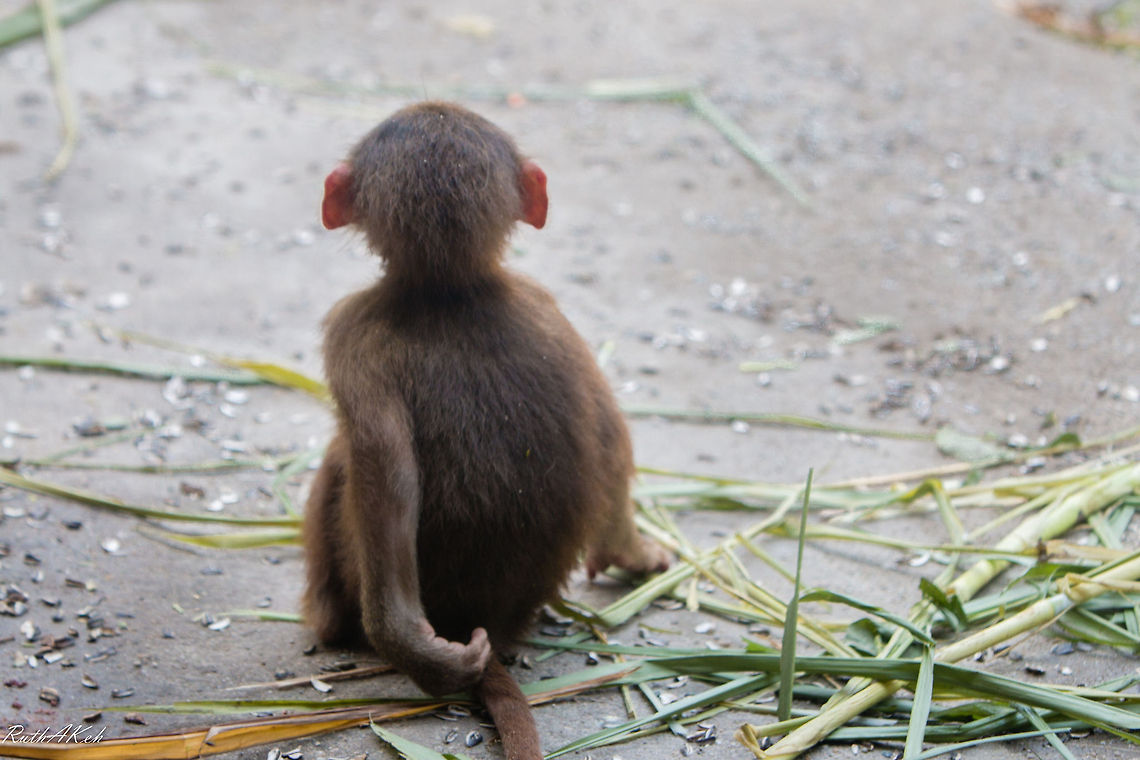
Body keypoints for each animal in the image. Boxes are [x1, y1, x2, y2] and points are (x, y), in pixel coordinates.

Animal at [301, 101, 670, 760]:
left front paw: (418, 653)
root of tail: (486, 621)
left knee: (343, 466)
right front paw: (638, 554)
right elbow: (611, 436)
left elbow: (384, 474)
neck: (449, 289)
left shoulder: (350, 331)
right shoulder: (552, 310)